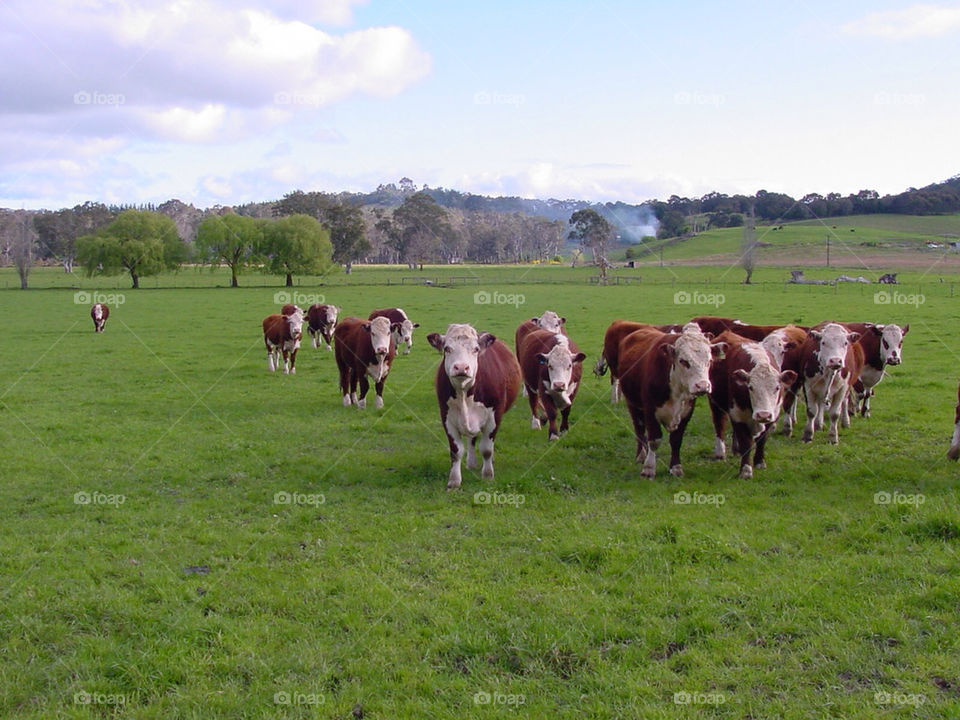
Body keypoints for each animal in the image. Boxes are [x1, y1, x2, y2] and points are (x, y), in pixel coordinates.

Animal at [428, 324, 520, 490]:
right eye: (447, 348)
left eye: (476, 349)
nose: (461, 367)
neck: (464, 392)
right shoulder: (446, 417)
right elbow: (456, 451)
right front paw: (454, 481)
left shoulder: (494, 416)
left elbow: (487, 449)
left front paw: (488, 475)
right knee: (471, 440)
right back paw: (471, 463)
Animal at [616, 322, 728, 478]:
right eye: (683, 361)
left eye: (710, 361)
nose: (702, 386)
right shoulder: (650, 410)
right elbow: (654, 439)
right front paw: (648, 468)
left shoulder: (686, 412)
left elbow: (676, 440)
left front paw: (676, 467)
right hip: (632, 403)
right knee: (639, 428)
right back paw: (641, 455)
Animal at [708, 332, 800, 478]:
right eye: (750, 387)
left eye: (777, 387)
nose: (763, 414)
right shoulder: (738, 415)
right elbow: (746, 442)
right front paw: (746, 470)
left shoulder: (773, 414)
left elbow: (762, 439)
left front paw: (759, 462)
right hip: (715, 403)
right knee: (719, 425)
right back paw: (720, 452)